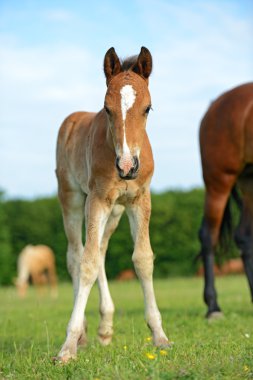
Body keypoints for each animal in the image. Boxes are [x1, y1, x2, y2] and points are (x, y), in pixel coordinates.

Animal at [55, 46, 170, 362]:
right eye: (107, 109)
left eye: (148, 108)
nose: (127, 166)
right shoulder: (97, 199)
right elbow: (87, 262)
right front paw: (67, 347)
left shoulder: (139, 200)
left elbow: (143, 259)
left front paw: (160, 336)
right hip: (71, 198)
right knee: (76, 255)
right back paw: (82, 333)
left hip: (115, 211)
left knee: (102, 250)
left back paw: (105, 328)